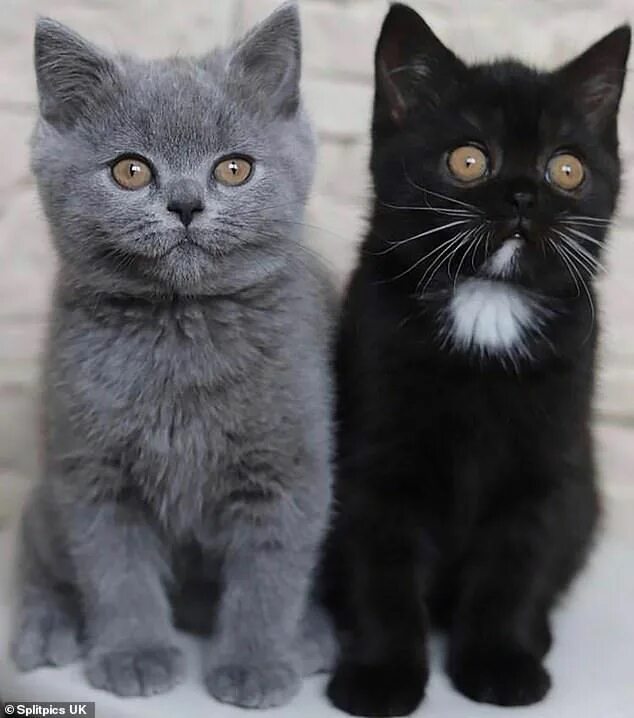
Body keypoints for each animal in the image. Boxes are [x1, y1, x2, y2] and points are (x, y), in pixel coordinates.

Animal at [9, 0, 336, 708]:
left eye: (233, 168)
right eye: (131, 170)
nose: (186, 203)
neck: (183, 329)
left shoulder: (286, 468)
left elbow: (270, 576)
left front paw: (255, 664)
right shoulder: (92, 470)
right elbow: (116, 571)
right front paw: (136, 655)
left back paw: (310, 638)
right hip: (46, 491)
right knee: (35, 551)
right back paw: (46, 625)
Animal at [324, 7, 628, 718]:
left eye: (565, 169)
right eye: (468, 160)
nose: (521, 195)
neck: (488, 303)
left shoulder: (545, 465)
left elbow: (514, 566)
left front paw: (500, 662)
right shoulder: (374, 455)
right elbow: (381, 566)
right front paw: (380, 674)